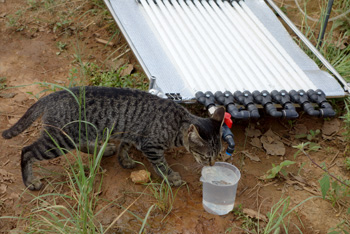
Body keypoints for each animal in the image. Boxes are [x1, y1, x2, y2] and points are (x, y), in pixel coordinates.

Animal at [2, 86, 224, 190]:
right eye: (207, 157)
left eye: (217, 155)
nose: (212, 164)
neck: (178, 123)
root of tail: (53, 95)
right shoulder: (151, 145)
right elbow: (161, 164)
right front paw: (171, 177)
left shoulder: (132, 132)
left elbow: (124, 147)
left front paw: (123, 160)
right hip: (58, 141)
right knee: (26, 151)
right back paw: (30, 181)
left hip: (75, 134)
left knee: (81, 144)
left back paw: (103, 149)